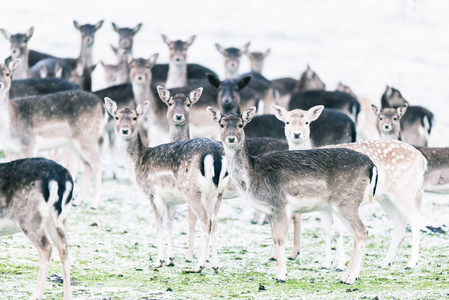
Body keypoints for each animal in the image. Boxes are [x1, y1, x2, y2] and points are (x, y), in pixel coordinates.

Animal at [0, 59, 105, 210]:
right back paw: (78, 200)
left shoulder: (29, 143)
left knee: (97, 164)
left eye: (8, 73)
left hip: (87, 137)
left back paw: (95, 203)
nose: (0, 84)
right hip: (73, 143)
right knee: (87, 165)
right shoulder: (10, 149)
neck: (8, 124)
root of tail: (102, 106)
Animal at [0, 157, 73, 300]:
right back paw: (67, 296)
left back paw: (36, 295)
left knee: (46, 247)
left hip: (29, 218)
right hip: (59, 220)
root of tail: (58, 178)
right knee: (64, 248)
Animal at [104, 97, 229, 274]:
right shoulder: (171, 200)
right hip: (218, 193)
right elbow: (170, 224)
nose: (125, 130)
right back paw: (216, 265)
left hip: (192, 191)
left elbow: (159, 224)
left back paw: (198, 266)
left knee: (206, 221)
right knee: (215, 222)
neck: (137, 164)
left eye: (135, 117)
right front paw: (170, 259)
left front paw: (158, 261)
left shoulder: (153, 194)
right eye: (116, 117)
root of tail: (216, 154)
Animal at [208, 105, 376, 284]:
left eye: (241, 125)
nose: (231, 138)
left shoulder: (281, 204)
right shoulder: (270, 211)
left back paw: (349, 277)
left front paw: (281, 276)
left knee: (362, 231)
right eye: (221, 124)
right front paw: (279, 271)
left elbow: (282, 238)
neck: (253, 176)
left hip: (346, 201)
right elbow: (274, 238)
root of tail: (371, 166)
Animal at [272, 103, 428, 270]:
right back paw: (385, 261)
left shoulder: (337, 199)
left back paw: (411, 263)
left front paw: (340, 264)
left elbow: (338, 231)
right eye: (287, 122)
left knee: (416, 219)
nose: (296, 134)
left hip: (403, 191)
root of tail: (423, 160)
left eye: (307, 122)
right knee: (400, 223)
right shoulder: (323, 205)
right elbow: (325, 230)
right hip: (386, 198)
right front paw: (326, 263)